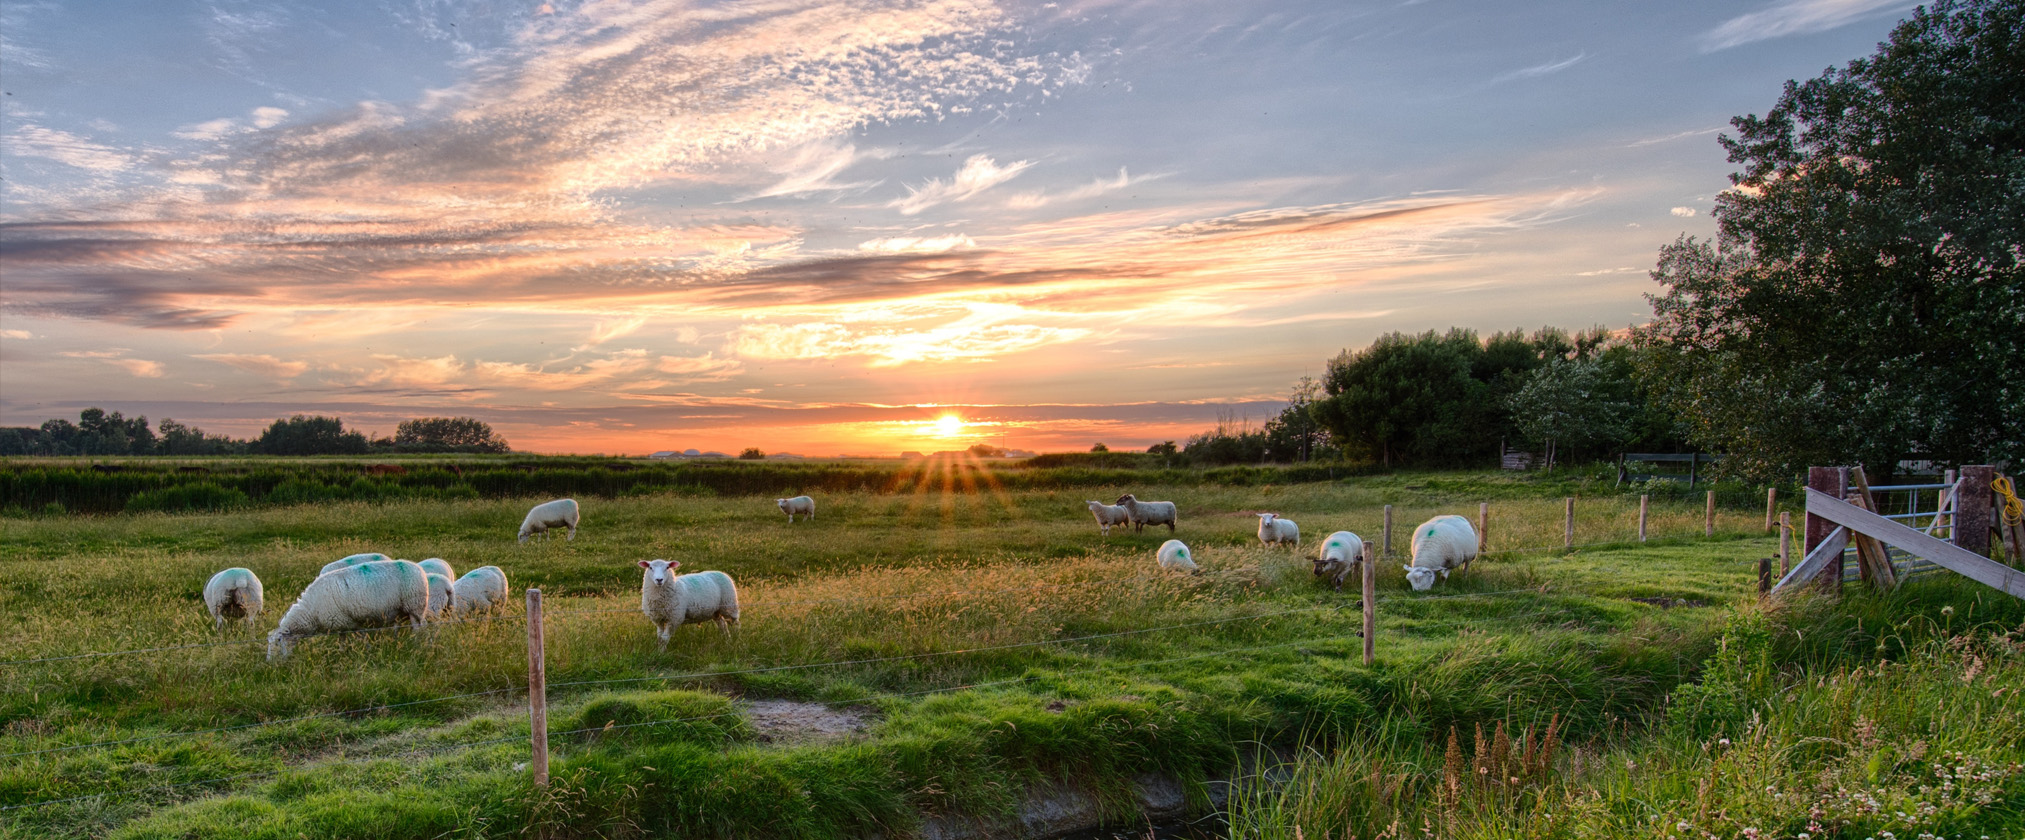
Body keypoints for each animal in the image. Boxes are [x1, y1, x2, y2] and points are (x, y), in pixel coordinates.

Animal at [265, 562, 431, 659]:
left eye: (278, 641)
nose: (269, 662)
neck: (311, 611)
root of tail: (419, 569)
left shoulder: (351, 622)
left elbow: (362, 637)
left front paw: (368, 650)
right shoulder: (340, 623)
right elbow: (342, 640)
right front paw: (341, 652)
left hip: (415, 604)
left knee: (422, 626)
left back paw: (419, 643)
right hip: (404, 609)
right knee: (412, 626)